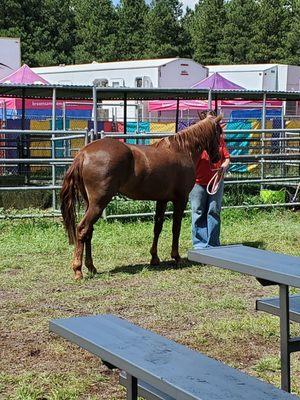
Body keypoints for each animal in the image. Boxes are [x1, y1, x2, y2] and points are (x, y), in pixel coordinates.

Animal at [61, 114, 221, 280]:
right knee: (82, 229)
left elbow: (157, 227)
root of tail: (83, 153)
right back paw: (78, 270)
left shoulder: (162, 200)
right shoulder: (180, 200)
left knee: (89, 232)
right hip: (99, 203)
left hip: (90, 204)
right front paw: (176, 257)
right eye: (219, 133)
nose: (218, 157)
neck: (182, 150)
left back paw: (91, 267)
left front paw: (154, 258)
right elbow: (175, 228)